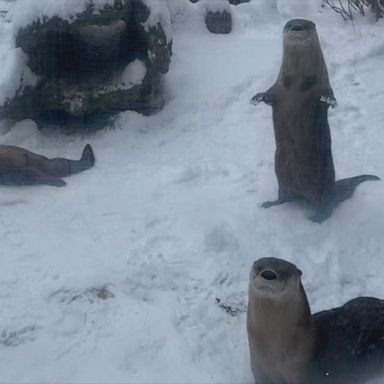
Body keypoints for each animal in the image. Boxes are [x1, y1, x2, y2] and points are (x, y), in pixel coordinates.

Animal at [250, 18, 380, 222]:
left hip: (323, 184)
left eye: (305, 24)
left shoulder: (322, 84)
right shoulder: (278, 87)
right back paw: (270, 203)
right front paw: (256, 98)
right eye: (289, 24)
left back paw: (316, 218)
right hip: (281, 175)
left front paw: (331, 101)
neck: (297, 82)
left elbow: (327, 95)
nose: (296, 27)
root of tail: (333, 187)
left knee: (326, 206)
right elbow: (268, 94)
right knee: (284, 197)